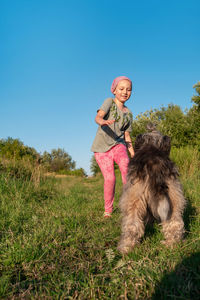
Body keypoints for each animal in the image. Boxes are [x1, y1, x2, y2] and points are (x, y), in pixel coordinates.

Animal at [119, 123, 186, 253]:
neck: (150, 145)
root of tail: (154, 162)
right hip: (174, 195)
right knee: (174, 222)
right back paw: (171, 244)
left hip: (134, 197)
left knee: (132, 225)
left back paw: (126, 248)